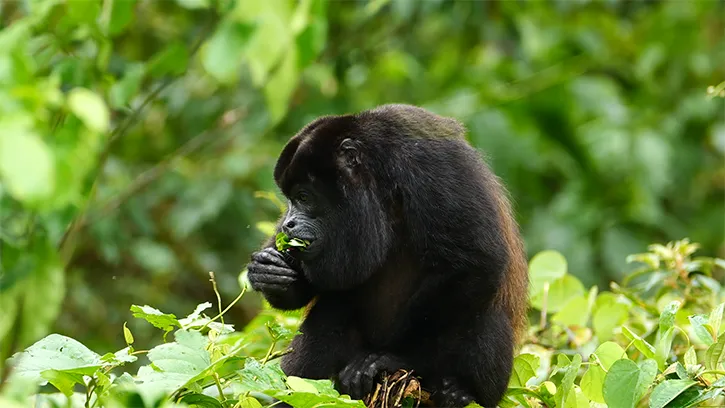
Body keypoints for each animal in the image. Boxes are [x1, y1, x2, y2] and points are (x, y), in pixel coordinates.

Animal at [246, 104, 529, 407]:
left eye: (304, 196)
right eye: (289, 200)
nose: (288, 224)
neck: (378, 177)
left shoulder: (430, 166)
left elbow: (477, 261)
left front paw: (395, 359)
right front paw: (269, 271)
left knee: (484, 311)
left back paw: (460, 391)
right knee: (334, 307)